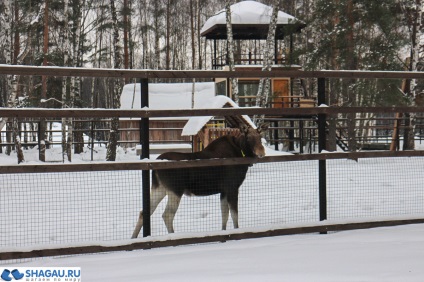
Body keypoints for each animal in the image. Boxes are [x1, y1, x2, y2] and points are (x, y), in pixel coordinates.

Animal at [131, 123, 266, 238]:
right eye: (248, 137)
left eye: (260, 137)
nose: (261, 152)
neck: (241, 153)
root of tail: (155, 169)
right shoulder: (232, 187)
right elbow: (234, 215)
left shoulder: (223, 191)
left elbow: (225, 214)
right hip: (175, 190)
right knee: (167, 215)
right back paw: (173, 236)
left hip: (159, 188)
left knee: (144, 212)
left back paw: (133, 237)